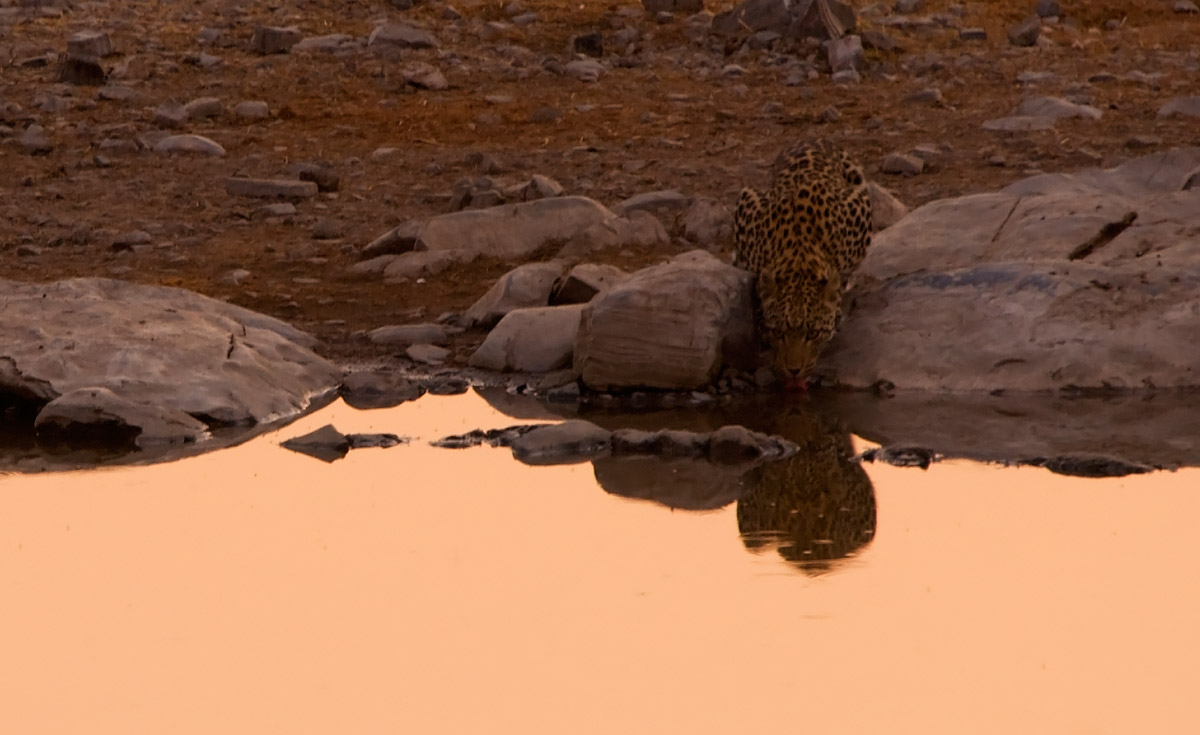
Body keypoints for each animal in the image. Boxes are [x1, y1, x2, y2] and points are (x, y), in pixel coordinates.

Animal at [733, 140, 872, 389]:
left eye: (813, 334)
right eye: (779, 333)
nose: (794, 371)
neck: (799, 255)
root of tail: (814, 137)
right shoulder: (747, 201)